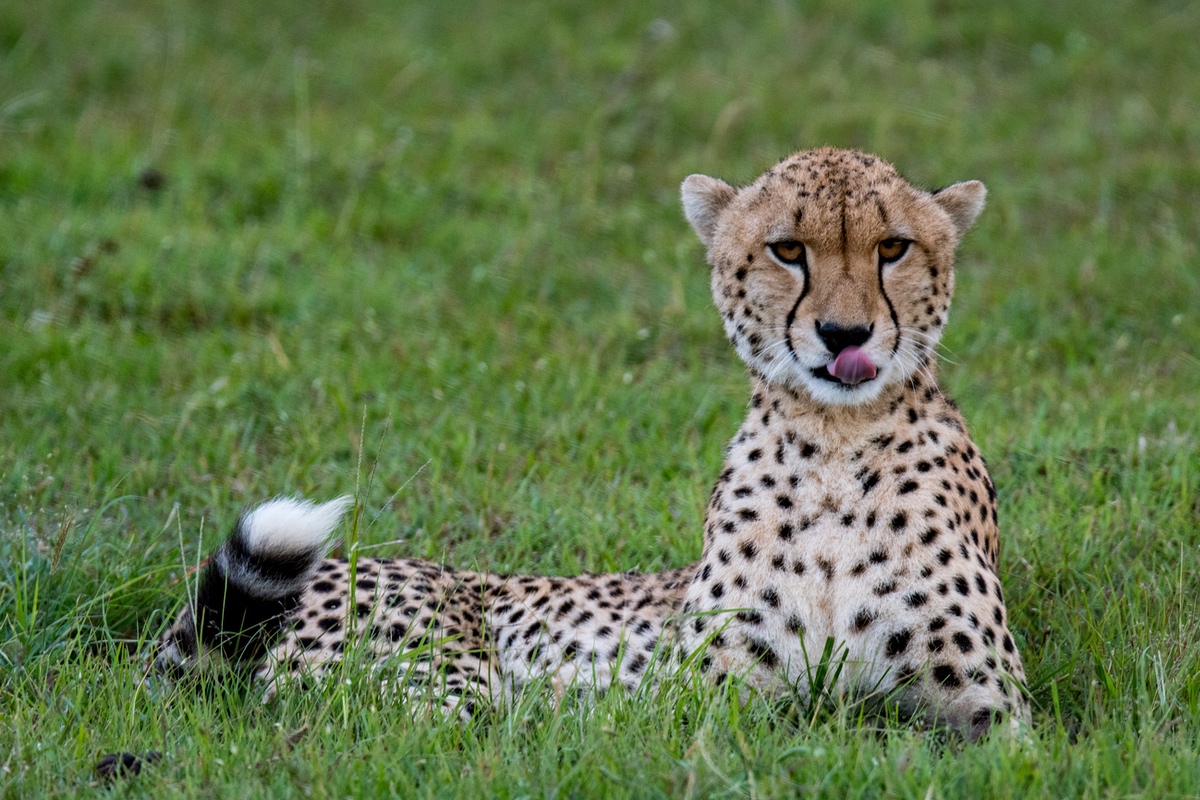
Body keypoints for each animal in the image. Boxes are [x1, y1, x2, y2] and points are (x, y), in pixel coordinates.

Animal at [155, 147, 1028, 739]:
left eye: (893, 248)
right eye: (788, 249)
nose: (845, 335)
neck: (835, 444)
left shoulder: (993, 710)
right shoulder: (704, 702)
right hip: (441, 682)